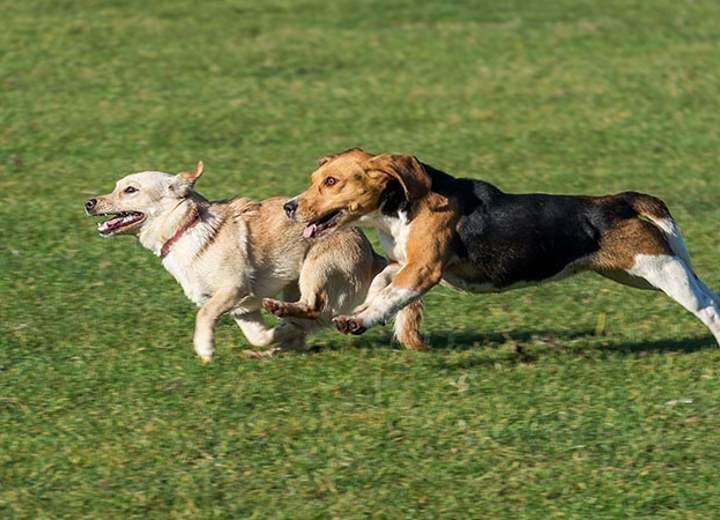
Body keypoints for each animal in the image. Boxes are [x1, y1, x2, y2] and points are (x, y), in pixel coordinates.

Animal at [85, 162, 424, 362]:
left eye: (130, 190)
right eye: (116, 187)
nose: (89, 203)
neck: (186, 228)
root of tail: (372, 254)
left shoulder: (231, 291)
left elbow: (204, 315)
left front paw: (204, 348)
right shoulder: (242, 308)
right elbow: (259, 335)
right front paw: (275, 338)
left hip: (315, 269)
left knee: (314, 307)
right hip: (295, 283)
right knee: (308, 319)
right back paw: (280, 337)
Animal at [282, 147, 720, 346]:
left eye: (331, 182)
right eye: (315, 179)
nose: (289, 207)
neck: (400, 205)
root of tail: (617, 201)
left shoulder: (423, 269)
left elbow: (391, 296)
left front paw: (360, 321)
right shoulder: (402, 262)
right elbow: (381, 286)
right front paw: (364, 312)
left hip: (660, 270)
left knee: (708, 307)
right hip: (637, 273)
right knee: (713, 295)